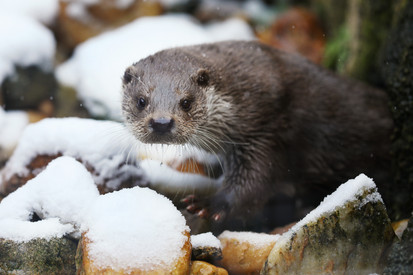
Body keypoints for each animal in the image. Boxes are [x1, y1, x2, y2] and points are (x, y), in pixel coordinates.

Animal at [120, 40, 392, 231]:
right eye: (141, 101)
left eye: (186, 102)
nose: (161, 122)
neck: (242, 100)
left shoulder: (266, 131)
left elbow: (254, 184)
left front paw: (209, 205)